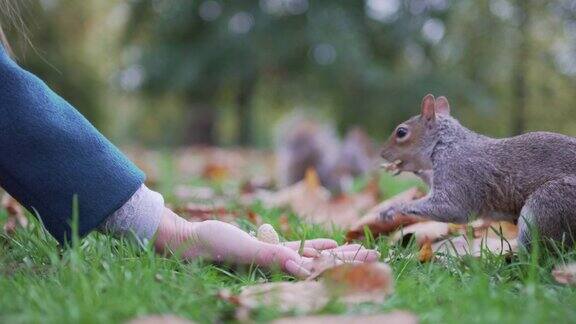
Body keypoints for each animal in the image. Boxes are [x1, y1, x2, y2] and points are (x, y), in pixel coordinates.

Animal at [380, 93, 576, 248]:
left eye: (401, 132)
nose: (382, 153)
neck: (448, 143)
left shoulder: (459, 172)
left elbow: (451, 207)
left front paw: (394, 208)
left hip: (548, 204)